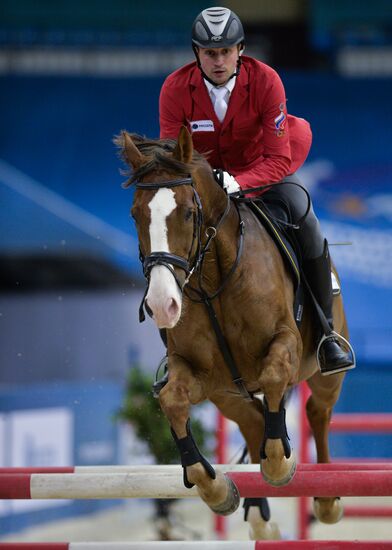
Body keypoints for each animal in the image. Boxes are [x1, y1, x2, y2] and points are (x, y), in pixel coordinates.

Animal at [116, 127, 346, 540]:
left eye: (189, 213)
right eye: (135, 214)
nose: (161, 304)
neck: (212, 280)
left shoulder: (285, 343)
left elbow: (273, 374)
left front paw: (279, 465)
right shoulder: (197, 372)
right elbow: (172, 400)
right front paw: (215, 487)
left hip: (322, 372)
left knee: (317, 411)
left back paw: (326, 498)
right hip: (228, 395)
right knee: (254, 422)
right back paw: (260, 516)